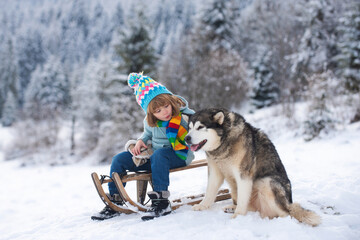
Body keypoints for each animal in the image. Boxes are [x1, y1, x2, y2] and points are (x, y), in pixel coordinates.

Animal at [186, 108, 320, 226]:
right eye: (189, 128)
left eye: (200, 127)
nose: (187, 138)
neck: (224, 141)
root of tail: (289, 203)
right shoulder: (215, 171)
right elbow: (209, 192)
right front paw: (202, 205)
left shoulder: (243, 175)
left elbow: (242, 200)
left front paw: (237, 216)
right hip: (235, 189)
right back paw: (232, 207)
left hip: (267, 182)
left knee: (287, 214)